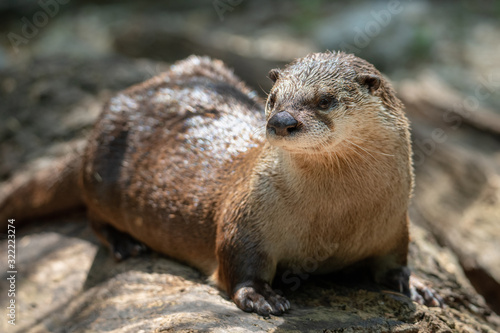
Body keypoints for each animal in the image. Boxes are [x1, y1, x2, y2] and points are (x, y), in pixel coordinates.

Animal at [0, 51, 440, 314]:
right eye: (273, 98)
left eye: (325, 100)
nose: (281, 121)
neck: (335, 224)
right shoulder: (246, 217)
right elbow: (236, 262)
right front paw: (261, 295)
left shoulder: (393, 224)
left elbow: (395, 260)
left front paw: (414, 284)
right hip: (101, 178)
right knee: (94, 218)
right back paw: (126, 244)